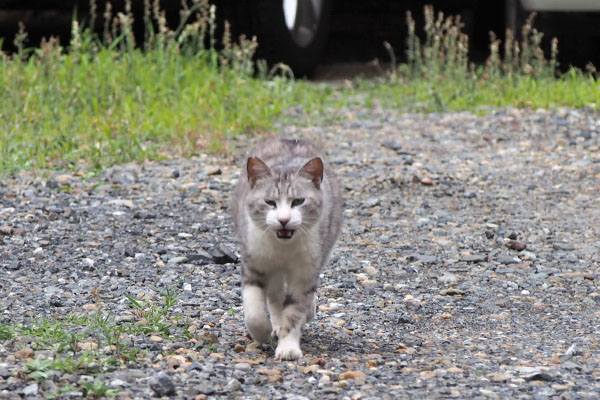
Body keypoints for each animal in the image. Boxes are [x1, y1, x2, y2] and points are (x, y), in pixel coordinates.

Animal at [231, 139, 342, 360]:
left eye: (298, 201)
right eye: (269, 202)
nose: (283, 219)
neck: (283, 249)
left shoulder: (305, 271)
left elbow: (294, 312)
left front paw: (288, 348)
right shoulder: (253, 261)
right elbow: (254, 310)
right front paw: (263, 333)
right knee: (275, 295)